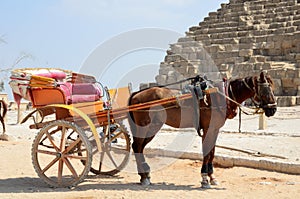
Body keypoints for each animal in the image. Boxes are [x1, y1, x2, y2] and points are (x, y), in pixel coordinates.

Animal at [126, 71, 276, 188]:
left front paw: (212, 177)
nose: (273, 109)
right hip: (148, 126)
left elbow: (212, 152)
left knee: (139, 147)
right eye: (266, 90)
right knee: (137, 146)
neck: (219, 96)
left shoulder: (215, 129)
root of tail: (136, 94)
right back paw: (144, 176)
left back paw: (145, 175)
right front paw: (204, 179)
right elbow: (206, 152)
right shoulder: (208, 128)